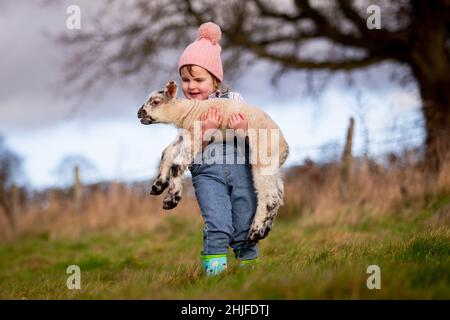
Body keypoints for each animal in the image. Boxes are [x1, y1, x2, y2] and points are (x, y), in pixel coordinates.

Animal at [137, 80, 290, 242]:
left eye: (156, 101)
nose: (139, 113)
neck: (189, 111)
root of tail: (285, 147)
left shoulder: (196, 135)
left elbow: (176, 165)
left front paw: (171, 199)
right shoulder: (183, 136)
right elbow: (167, 153)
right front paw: (158, 186)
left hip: (264, 157)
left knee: (270, 196)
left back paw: (255, 232)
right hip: (273, 164)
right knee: (279, 193)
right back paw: (265, 229)